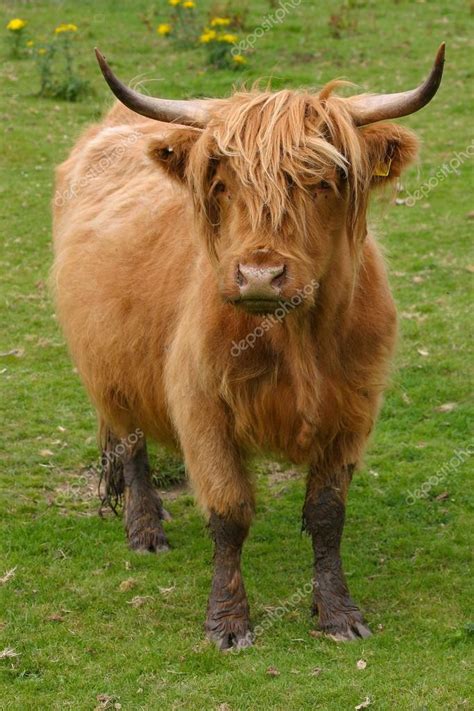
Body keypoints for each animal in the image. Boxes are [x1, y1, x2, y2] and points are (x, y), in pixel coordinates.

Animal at [51, 46, 444, 652]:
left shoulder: (354, 410)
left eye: (323, 181)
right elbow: (229, 512)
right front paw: (228, 622)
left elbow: (327, 515)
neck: (294, 341)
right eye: (222, 183)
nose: (260, 276)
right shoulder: (200, 407)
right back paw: (146, 529)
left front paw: (337, 614)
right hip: (109, 369)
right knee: (131, 442)